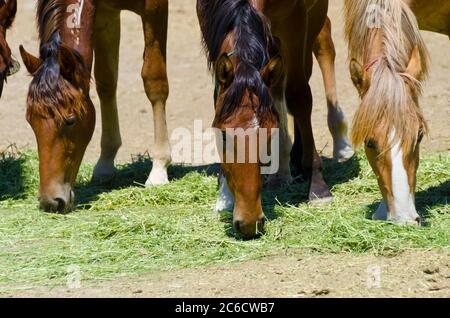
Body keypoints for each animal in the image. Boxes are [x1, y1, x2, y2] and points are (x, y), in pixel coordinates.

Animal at [18, 0, 171, 214]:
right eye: (30, 121)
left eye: (70, 120)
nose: (51, 202)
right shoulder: (105, 14)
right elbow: (106, 81)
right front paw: (105, 164)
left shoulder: (154, 9)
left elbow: (154, 80)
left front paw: (158, 169)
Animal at [197, 0, 334, 238]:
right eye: (223, 135)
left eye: (270, 134)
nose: (249, 223)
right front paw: (225, 195)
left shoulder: (296, 23)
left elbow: (298, 96)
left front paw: (317, 186)